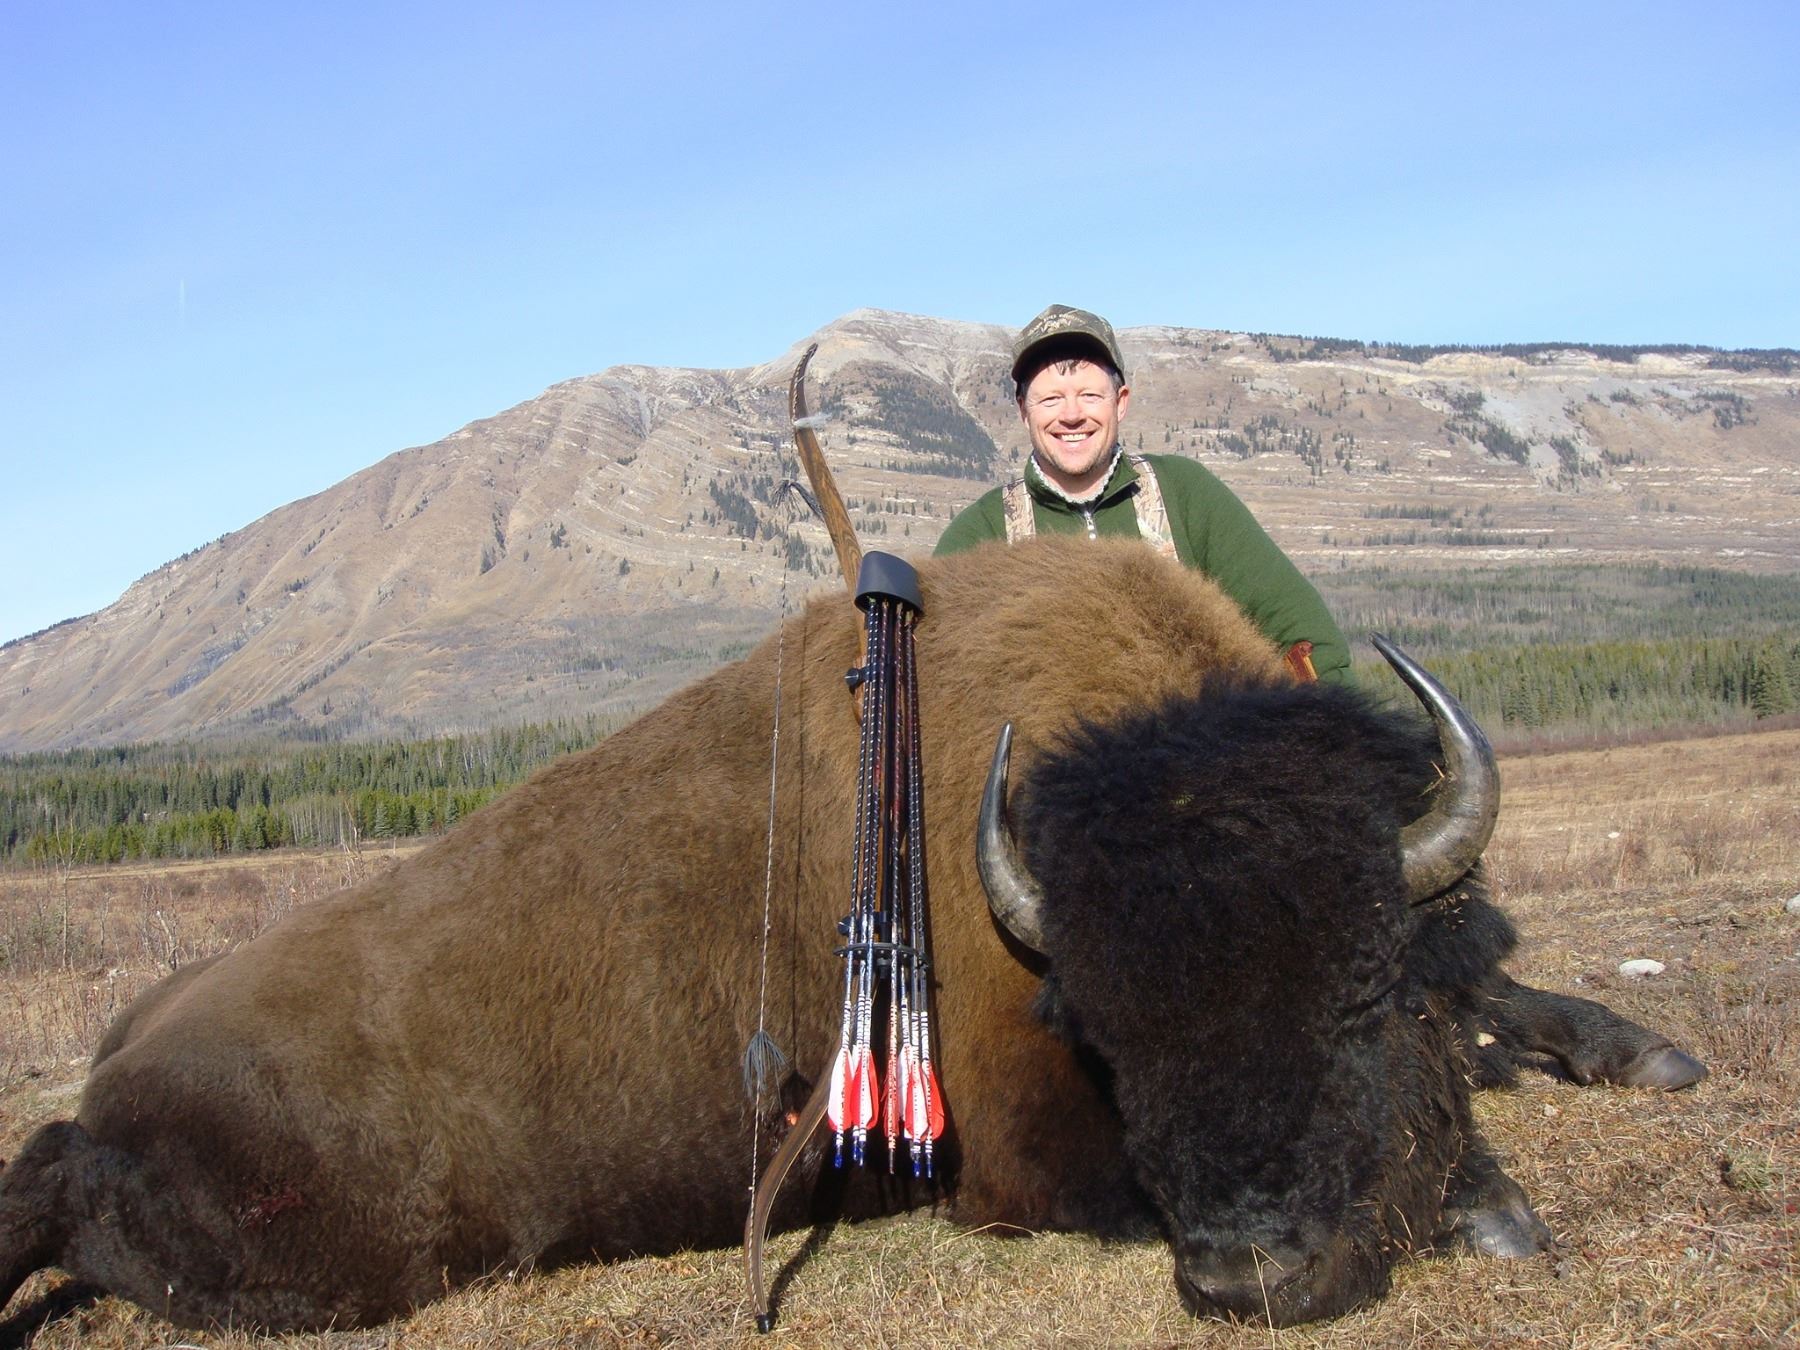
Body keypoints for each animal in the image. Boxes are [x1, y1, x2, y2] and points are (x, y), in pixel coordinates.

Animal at [0, 537, 1699, 1333]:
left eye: (1362, 995)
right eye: (1115, 1032)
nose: (1244, 1271)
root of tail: (124, 1057)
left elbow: (1513, 994)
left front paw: (1642, 1053)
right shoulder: (1022, 1175)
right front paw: (1497, 1206)